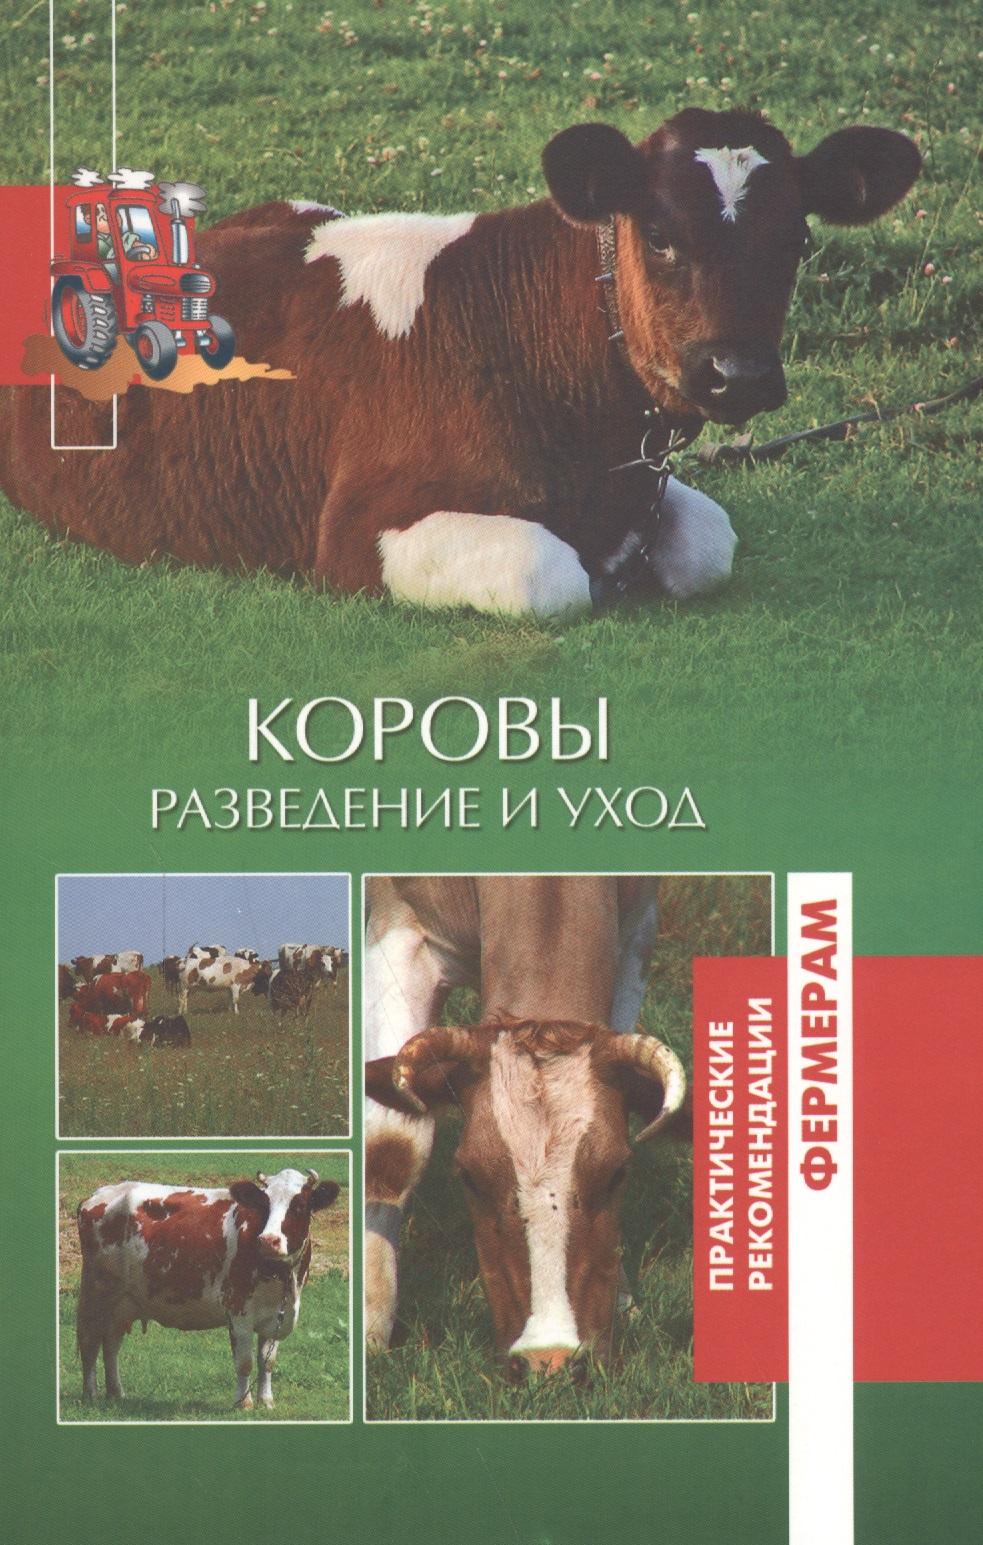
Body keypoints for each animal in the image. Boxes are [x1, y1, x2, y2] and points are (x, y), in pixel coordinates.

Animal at [0, 111, 919, 617]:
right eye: (658, 233)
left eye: (797, 238)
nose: (739, 373)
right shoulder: (353, 530)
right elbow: (546, 572)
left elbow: (708, 541)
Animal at [76, 1167, 339, 1408]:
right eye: (264, 1205)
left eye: (299, 1206)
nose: (268, 1241)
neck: (279, 1277)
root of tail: (100, 1193)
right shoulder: (238, 1310)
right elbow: (245, 1362)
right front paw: (243, 1403)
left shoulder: (277, 1316)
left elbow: (267, 1361)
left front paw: (266, 1402)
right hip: (97, 1293)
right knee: (90, 1341)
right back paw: (91, 1394)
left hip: (123, 1302)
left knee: (111, 1344)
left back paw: (116, 1393)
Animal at [364, 875, 686, 1375]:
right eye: (469, 1177)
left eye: (618, 1173)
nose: (549, 1360)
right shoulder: (397, 927)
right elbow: (391, 1148)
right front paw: (369, 1329)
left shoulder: (637, 928)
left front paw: (621, 1296)